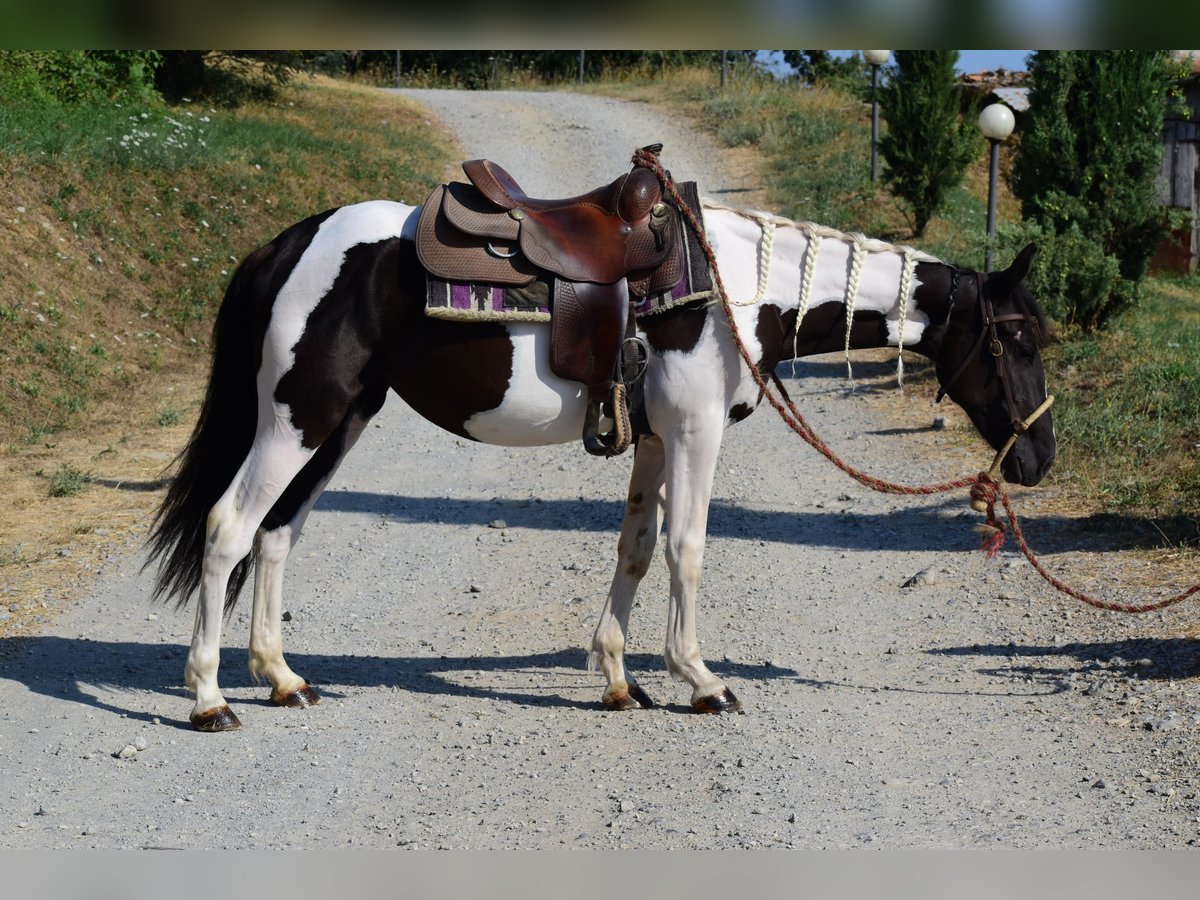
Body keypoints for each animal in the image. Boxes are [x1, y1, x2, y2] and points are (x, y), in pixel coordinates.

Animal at [145, 192, 1056, 734]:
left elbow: (637, 549)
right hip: (298, 420)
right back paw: (210, 698)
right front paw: (701, 679)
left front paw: (620, 678)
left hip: (338, 424)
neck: (732, 289)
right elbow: (688, 550)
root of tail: (289, 243)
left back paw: (282, 678)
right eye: (1016, 337)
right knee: (229, 528)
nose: (1040, 458)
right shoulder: (694, 432)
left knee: (277, 537)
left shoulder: (654, 437)